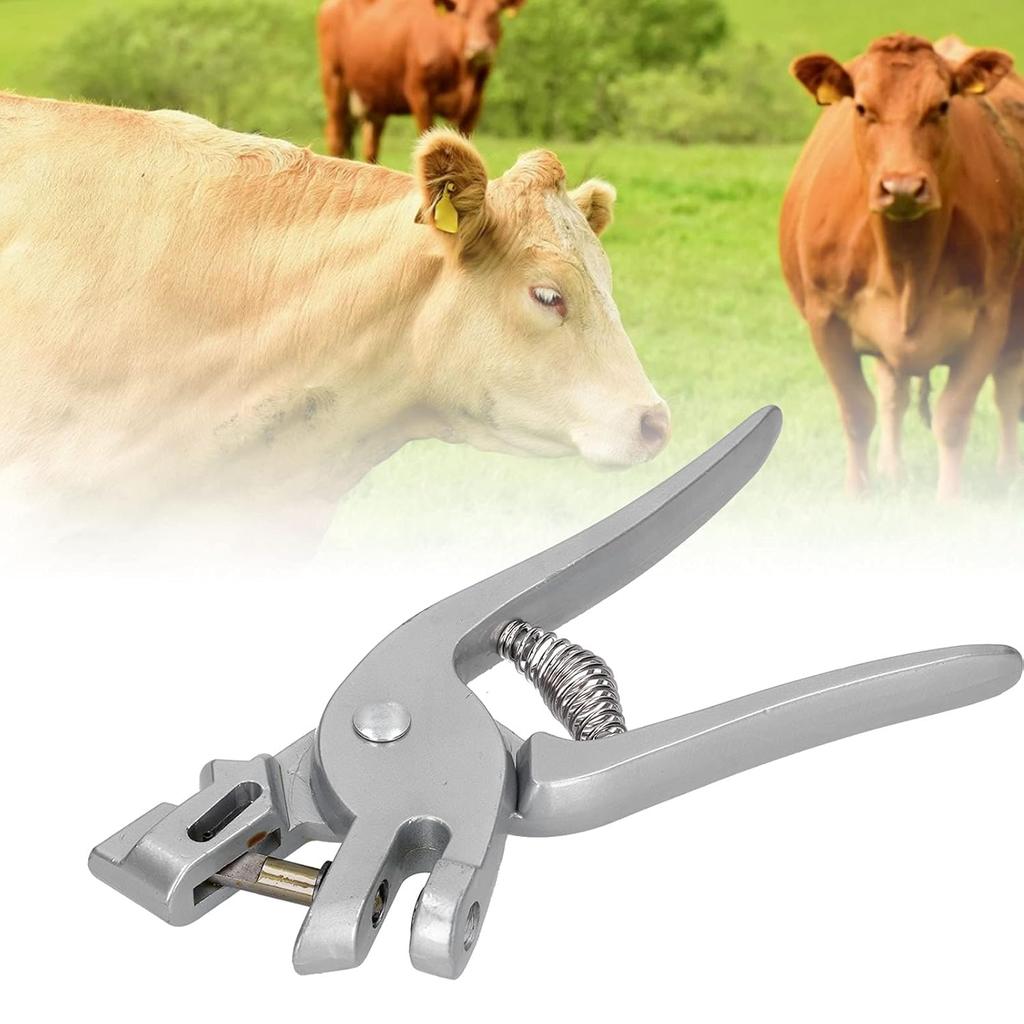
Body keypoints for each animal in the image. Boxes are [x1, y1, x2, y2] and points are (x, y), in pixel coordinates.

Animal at [317, 0, 525, 163]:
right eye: (462, 14)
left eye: (494, 14)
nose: (479, 48)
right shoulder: (420, 95)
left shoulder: (475, 103)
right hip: (334, 82)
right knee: (335, 138)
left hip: (374, 100)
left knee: (370, 147)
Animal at [780, 33, 1024, 499]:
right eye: (862, 107)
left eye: (942, 106)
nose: (903, 186)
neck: (909, 264)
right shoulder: (825, 318)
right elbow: (857, 411)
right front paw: (856, 491)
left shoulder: (992, 317)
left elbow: (954, 416)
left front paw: (949, 500)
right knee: (893, 392)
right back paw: (892, 468)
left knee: (1007, 394)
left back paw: (1006, 474)